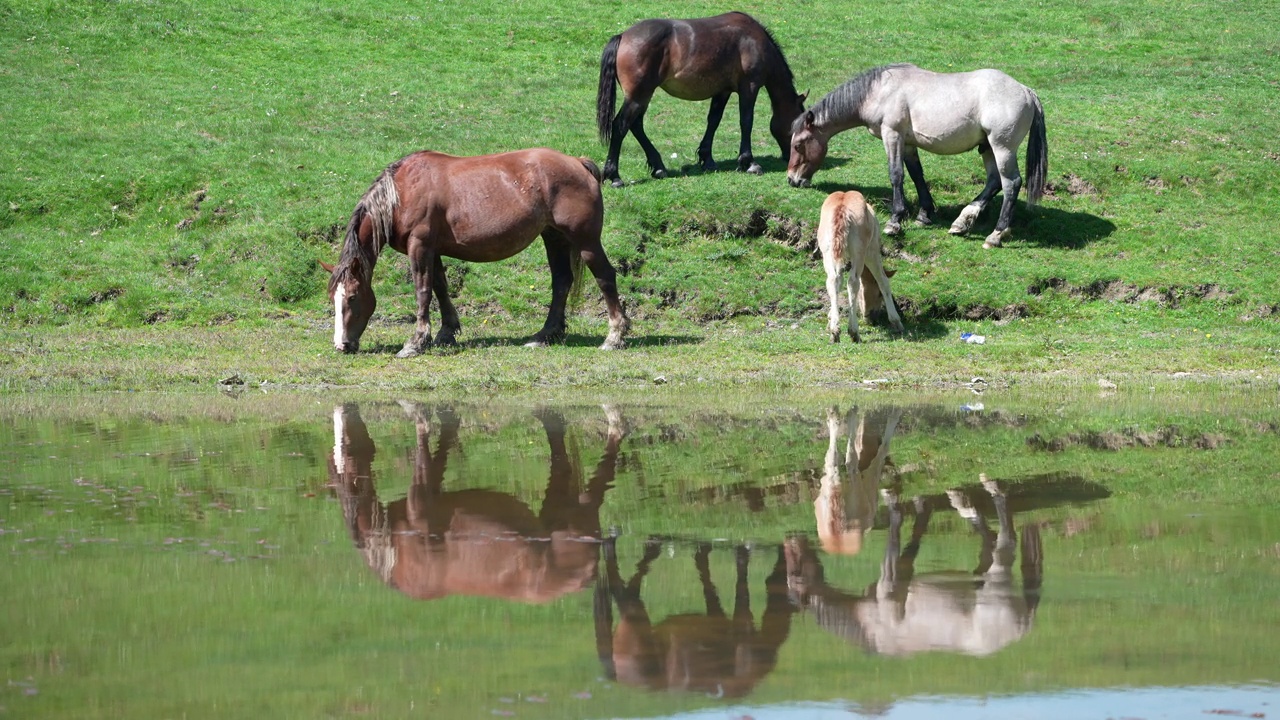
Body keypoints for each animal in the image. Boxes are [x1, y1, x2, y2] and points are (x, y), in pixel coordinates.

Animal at [325, 147, 629, 356]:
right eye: (333, 299)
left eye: (352, 297)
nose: (342, 345)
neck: (403, 193)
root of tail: (577, 162)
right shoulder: (433, 249)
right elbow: (440, 287)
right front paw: (446, 333)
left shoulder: (419, 245)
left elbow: (422, 291)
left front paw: (416, 342)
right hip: (554, 236)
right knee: (562, 282)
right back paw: (544, 335)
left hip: (585, 240)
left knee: (605, 277)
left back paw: (614, 337)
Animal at [327, 404, 627, 599]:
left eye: (346, 450)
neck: (395, 549)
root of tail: (587, 574)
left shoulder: (420, 501)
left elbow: (423, 439)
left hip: (576, 511)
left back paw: (617, 425)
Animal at [593, 12, 803, 185]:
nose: (789, 156)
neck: (755, 39)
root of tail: (622, 36)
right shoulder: (749, 88)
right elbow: (746, 122)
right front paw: (749, 162)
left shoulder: (722, 91)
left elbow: (713, 121)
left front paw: (707, 159)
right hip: (638, 96)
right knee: (620, 126)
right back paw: (614, 176)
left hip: (642, 96)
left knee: (635, 126)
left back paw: (658, 167)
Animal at [593, 538, 793, 696]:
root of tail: (618, 675)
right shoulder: (743, 625)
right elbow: (740, 576)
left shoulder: (720, 616)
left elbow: (706, 574)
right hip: (635, 617)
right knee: (621, 589)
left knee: (637, 575)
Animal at [814, 190, 906, 340]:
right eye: (878, 295)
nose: (871, 317)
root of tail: (842, 208)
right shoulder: (872, 251)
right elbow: (883, 281)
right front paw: (896, 321)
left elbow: (838, 282)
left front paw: (830, 319)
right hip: (861, 252)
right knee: (853, 282)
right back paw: (854, 332)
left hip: (828, 252)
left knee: (832, 280)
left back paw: (835, 331)